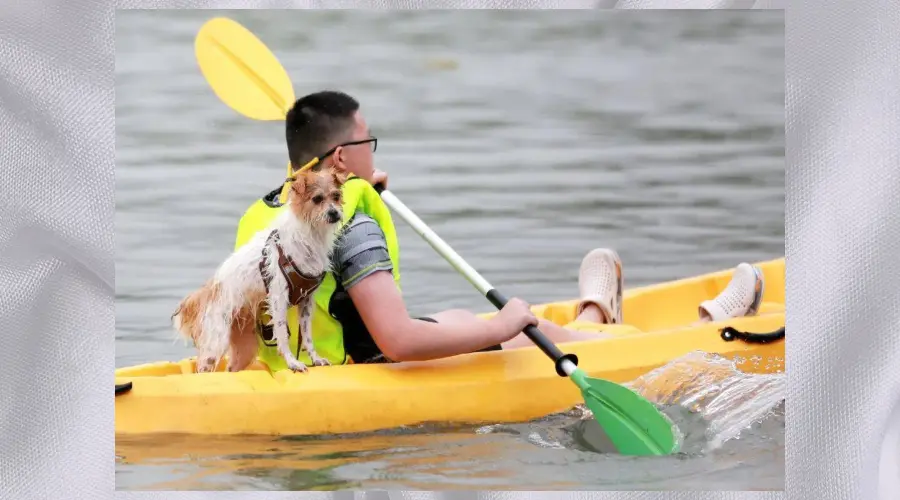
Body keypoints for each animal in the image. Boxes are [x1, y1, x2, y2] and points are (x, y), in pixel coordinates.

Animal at [172, 166, 348, 374]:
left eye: (336, 196)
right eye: (317, 199)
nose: (334, 213)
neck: (310, 236)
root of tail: (207, 291)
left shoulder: (306, 300)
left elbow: (307, 336)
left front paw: (316, 359)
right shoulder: (278, 297)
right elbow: (282, 334)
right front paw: (292, 363)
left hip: (245, 346)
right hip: (215, 343)